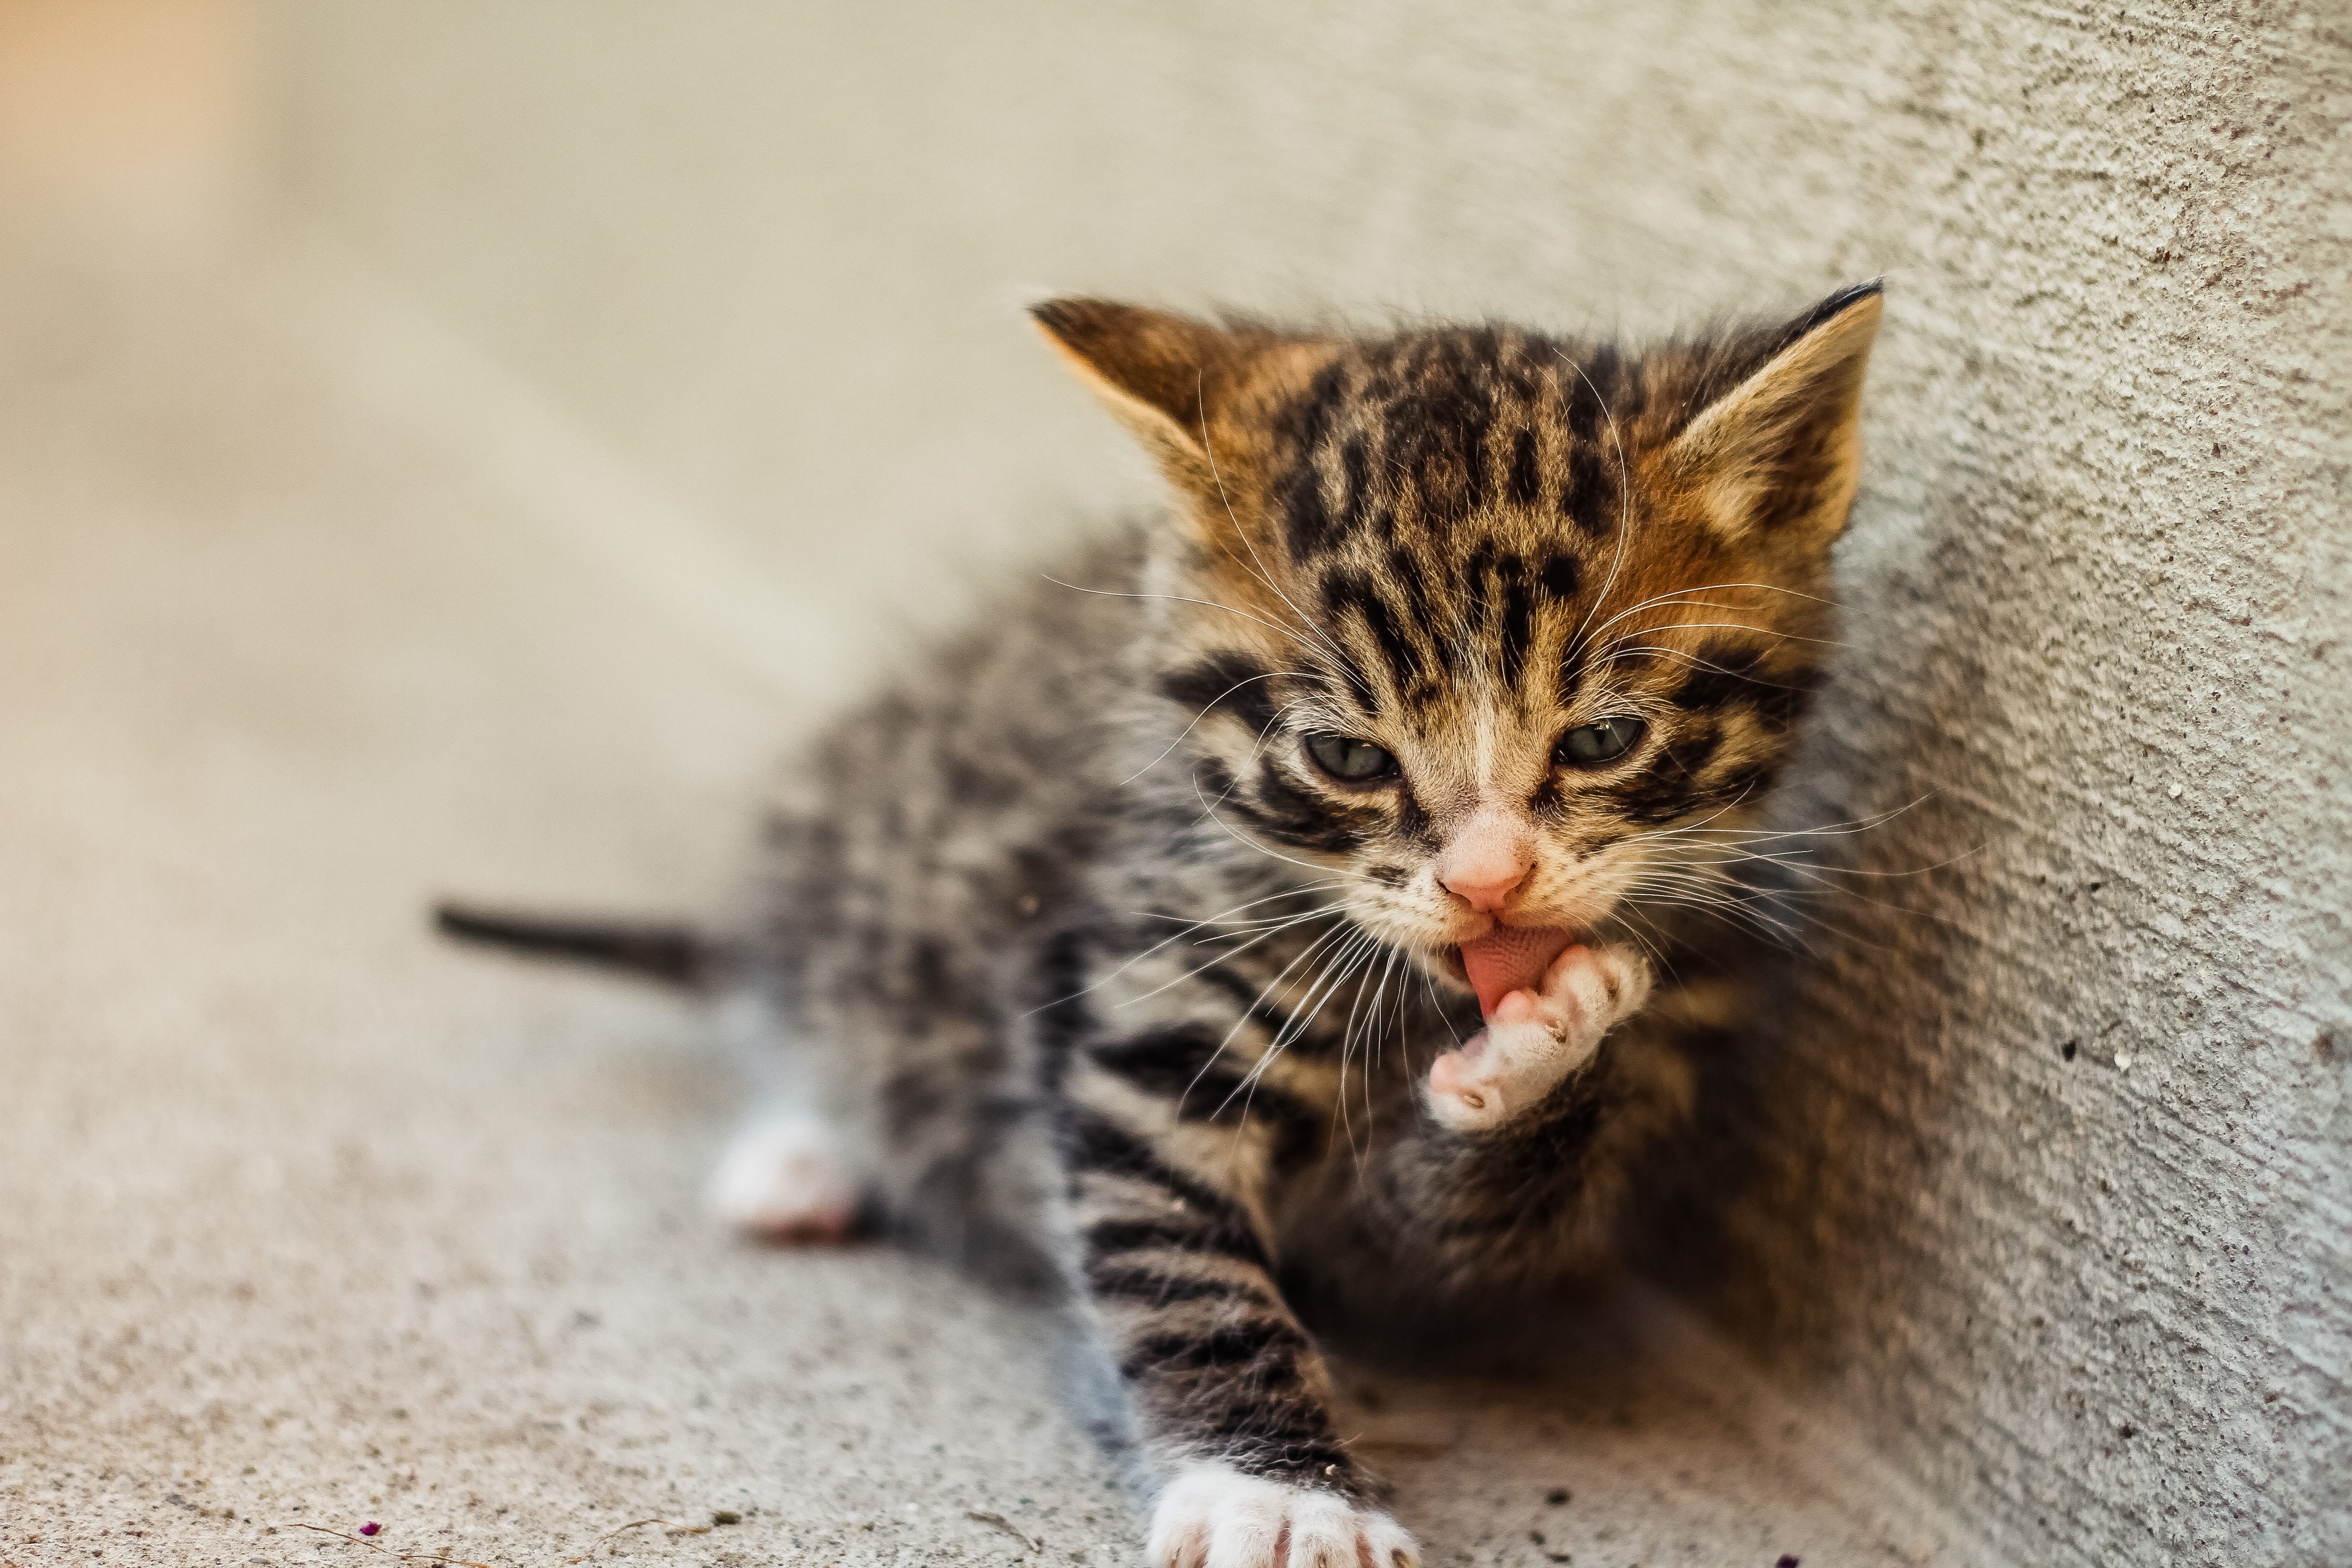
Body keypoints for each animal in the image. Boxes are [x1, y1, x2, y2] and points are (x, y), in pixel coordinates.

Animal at [432, 285, 1882, 1568]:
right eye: (1344, 756)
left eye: (1600, 740)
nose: (1485, 882)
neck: (1401, 980)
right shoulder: (1147, 1004)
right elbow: (1182, 1265)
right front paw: (1279, 1493)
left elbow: (1469, 1212)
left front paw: (1543, 1048)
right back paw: (807, 1145)